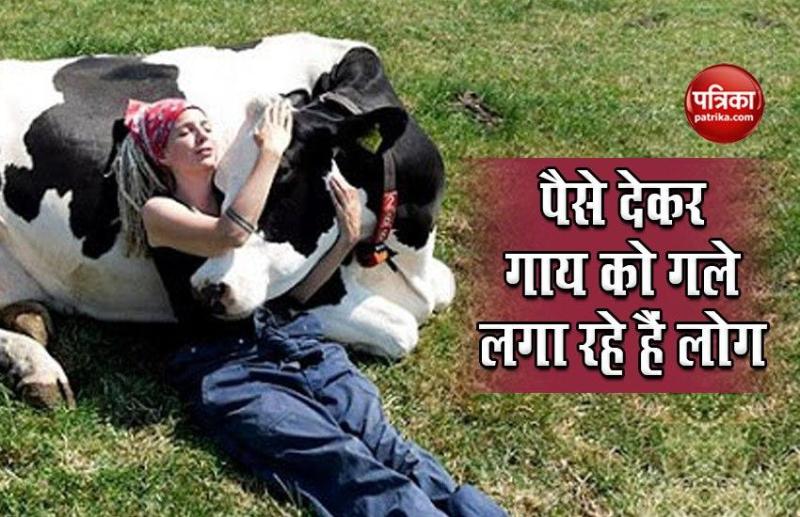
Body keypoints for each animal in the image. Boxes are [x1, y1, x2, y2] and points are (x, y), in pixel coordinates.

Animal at [0, 33, 456, 408]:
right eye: (218, 185)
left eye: (281, 172)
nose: (207, 290)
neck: (409, 248)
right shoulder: (299, 297)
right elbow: (402, 330)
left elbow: (446, 286)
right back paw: (38, 369)